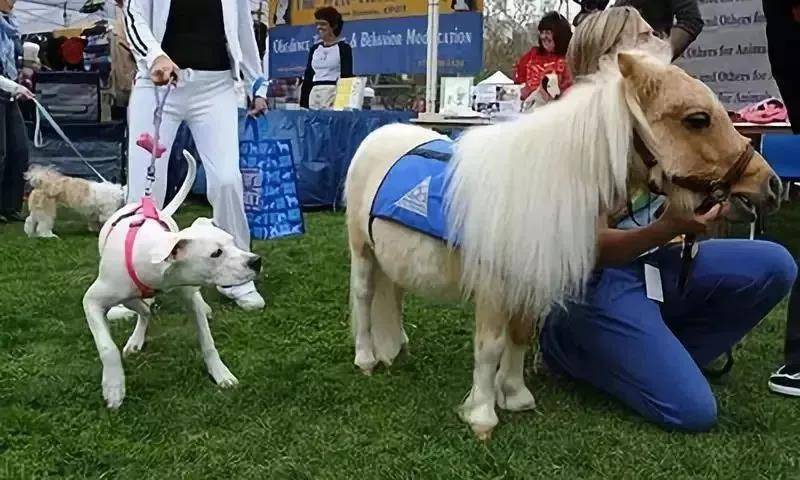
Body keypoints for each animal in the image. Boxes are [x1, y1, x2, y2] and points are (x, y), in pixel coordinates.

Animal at [80, 150, 260, 408]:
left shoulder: (188, 297)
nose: (256, 261)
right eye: (216, 253)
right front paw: (114, 387)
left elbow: (207, 341)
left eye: (233, 243)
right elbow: (107, 346)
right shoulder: (92, 301)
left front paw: (221, 373)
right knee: (141, 309)